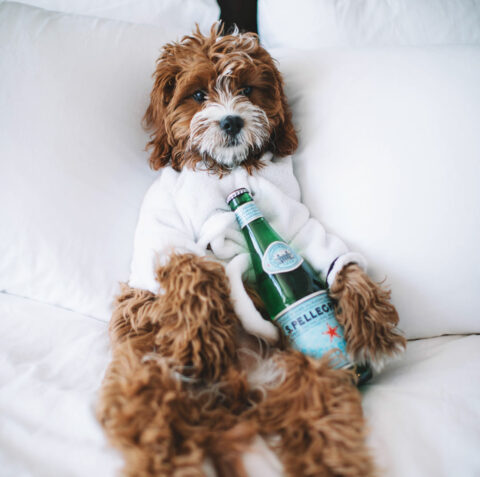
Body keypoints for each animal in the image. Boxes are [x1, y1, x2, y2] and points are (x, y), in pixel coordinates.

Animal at [97, 26, 404, 476]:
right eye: (198, 94)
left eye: (246, 89)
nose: (231, 119)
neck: (226, 170)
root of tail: (238, 400)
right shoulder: (162, 225)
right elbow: (188, 265)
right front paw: (199, 334)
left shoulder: (294, 218)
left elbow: (328, 254)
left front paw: (369, 320)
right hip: (146, 376)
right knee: (157, 431)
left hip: (316, 379)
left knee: (326, 429)